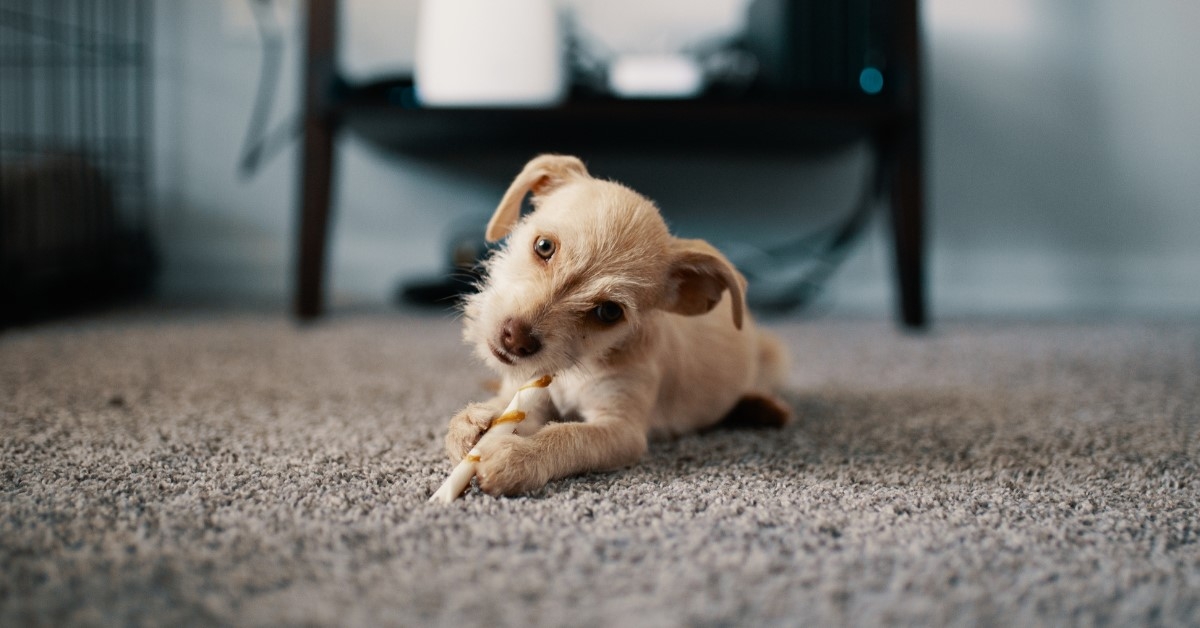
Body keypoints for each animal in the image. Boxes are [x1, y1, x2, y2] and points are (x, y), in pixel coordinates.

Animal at [446, 153, 792, 497]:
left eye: (609, 312)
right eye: (544, 246)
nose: (515, 339)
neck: (577, 368)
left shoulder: (621, 430)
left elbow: (568, 437)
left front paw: (518, 455)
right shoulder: (530, 395)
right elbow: (506, 409)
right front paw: (473, 423)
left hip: (773, 353)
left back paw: (761, 407)